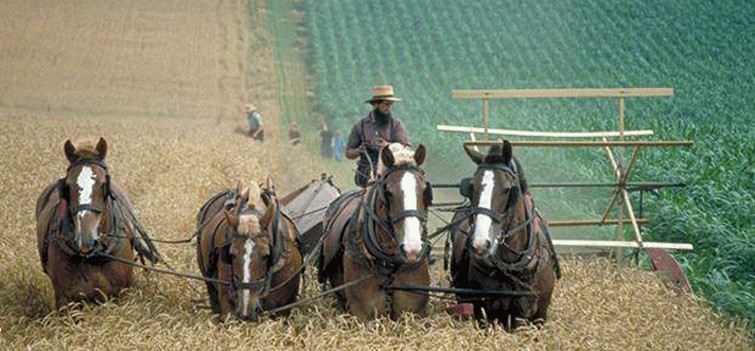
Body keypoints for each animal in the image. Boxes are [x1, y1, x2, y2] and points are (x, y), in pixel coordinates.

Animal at [35, 138, 161, 308]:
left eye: (103, 185)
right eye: (67, 186)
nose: (86, 240)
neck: (92, 258)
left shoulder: (120, 297)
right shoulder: (65, 301)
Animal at [316, 143, 432, 322]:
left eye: (425, 191)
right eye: (388, 192)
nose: (412, 249)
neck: (390, 264)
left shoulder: (414, 313)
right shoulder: (362, 315)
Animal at [448, 141, 560, 330]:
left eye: (507, 189)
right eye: (472, 187)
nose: (480, 244)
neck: (513, 268)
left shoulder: (540, 316)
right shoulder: (485, 314)